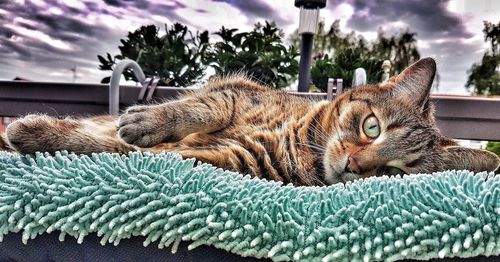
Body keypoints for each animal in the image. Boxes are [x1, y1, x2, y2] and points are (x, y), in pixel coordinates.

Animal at [0, 58, 500, 185]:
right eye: (372, 127)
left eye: (394, 171)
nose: (356, 167)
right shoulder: (236, 90)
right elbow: (203, 106)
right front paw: (147, 118)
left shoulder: (231, 160)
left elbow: (115, 149)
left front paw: (35, 131)